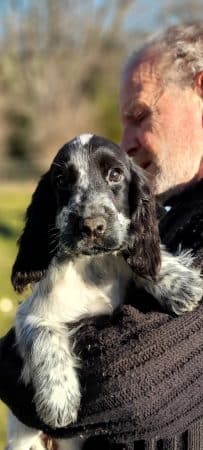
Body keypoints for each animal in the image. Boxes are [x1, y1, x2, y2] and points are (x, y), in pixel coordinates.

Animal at [7, 134, 202, 450]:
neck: (92, 264)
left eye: (115, 174)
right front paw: (58, 399)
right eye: (61, 180)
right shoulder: (29, 314)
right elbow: (45, 335)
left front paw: (180, 283)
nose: (91, 226)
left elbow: (137, 261)